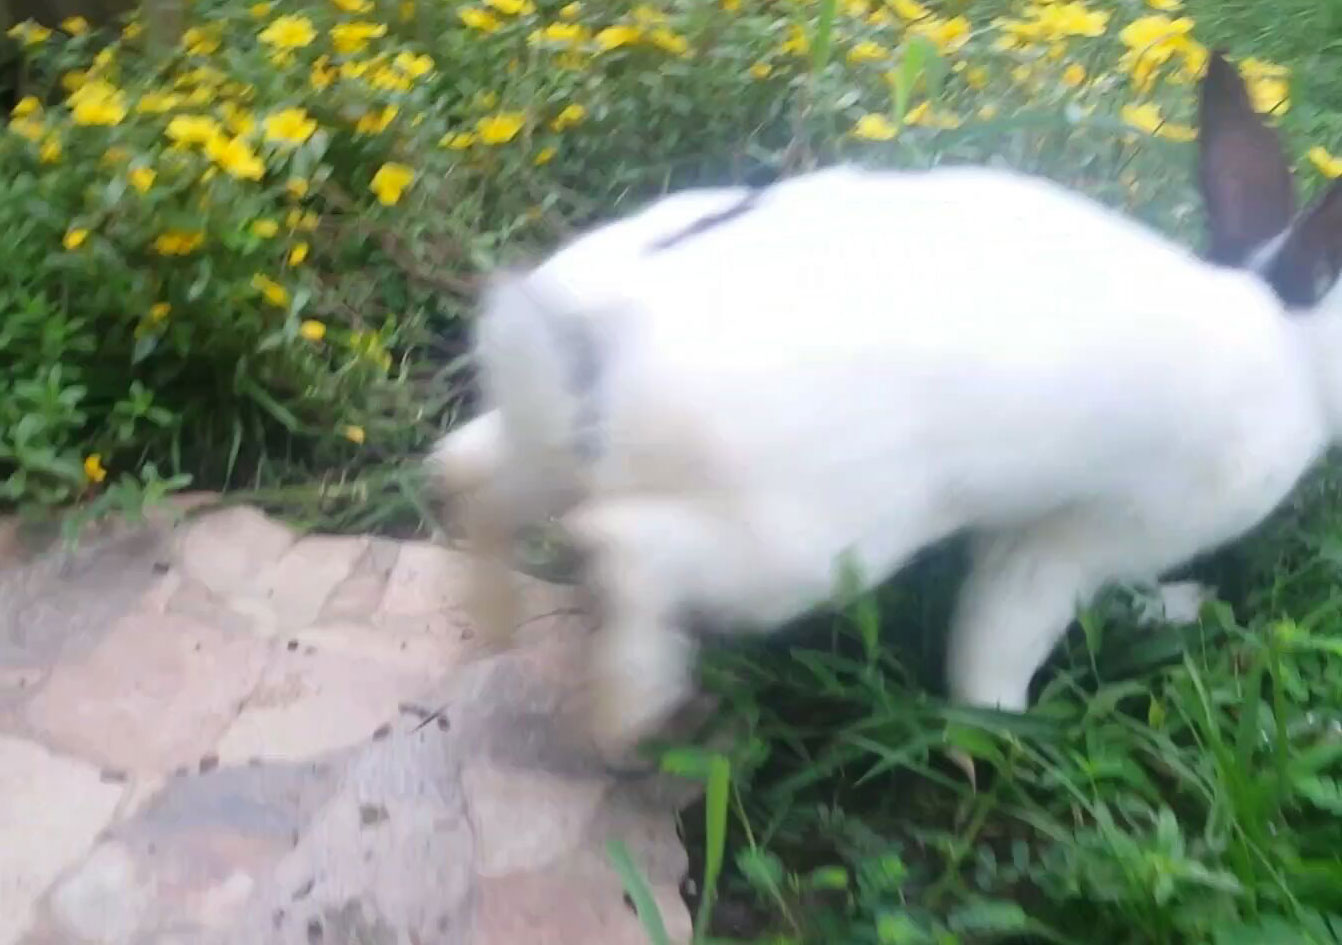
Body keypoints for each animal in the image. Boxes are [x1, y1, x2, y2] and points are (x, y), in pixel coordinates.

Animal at [427, 50, 1342, 758]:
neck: (1288, 341)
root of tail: (606, 320)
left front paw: (1179, 607)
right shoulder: (1068, 544)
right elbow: (995, 648)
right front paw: (1008, 733)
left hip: (551, 443)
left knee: (469, 474)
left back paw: (494, 622)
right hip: (805, 544)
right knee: (618, 545)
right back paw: (631, 714)